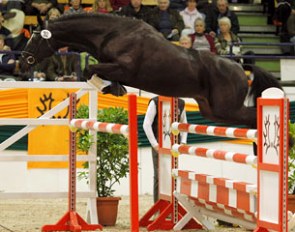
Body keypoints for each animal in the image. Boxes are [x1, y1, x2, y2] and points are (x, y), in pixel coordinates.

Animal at [19, 12, 284, 129]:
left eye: (35, 38)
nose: (23, 62)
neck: (112, 33)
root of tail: (240, 66)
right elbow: (91, 70)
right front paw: (113, 88)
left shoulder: (123, 68)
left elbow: (90, 69)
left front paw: (111, 88)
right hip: (213, 111)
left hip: (226, 108)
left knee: (252, 116)